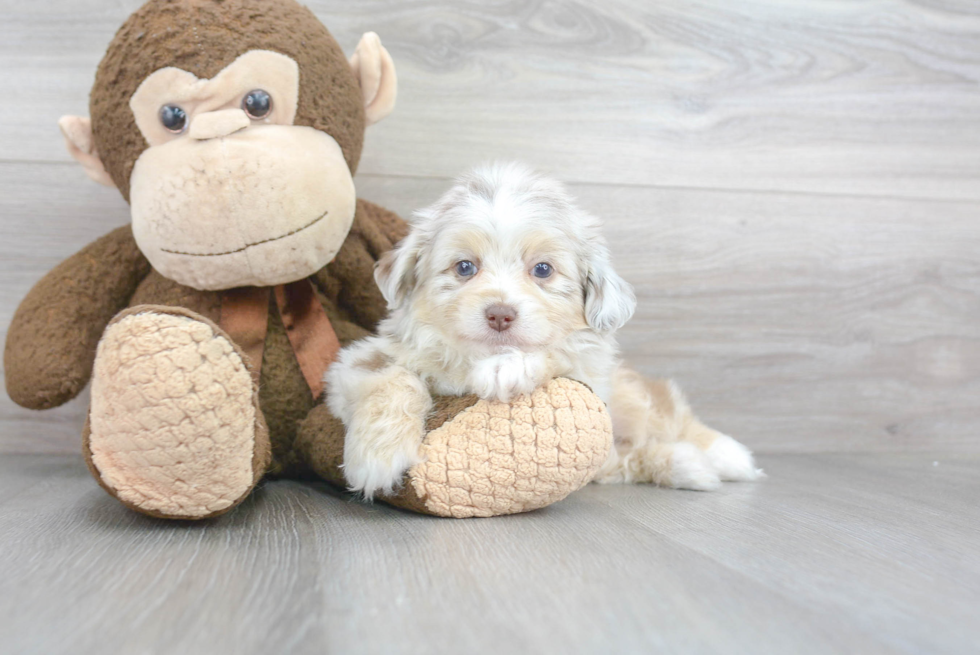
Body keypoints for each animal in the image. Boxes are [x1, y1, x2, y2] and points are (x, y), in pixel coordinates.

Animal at [326, 163, 760, 498]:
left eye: (543, 270)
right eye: (465, 267)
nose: (500, 314)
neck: (471, 361)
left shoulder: (590, 379)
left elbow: (559, 352)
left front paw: (509, 367)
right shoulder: (354, 363)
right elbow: (392, 379)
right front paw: (377, 457)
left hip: (631, 400)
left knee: (666, 417)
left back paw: (725, 456)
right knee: (628, 458)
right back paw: (688, 465)